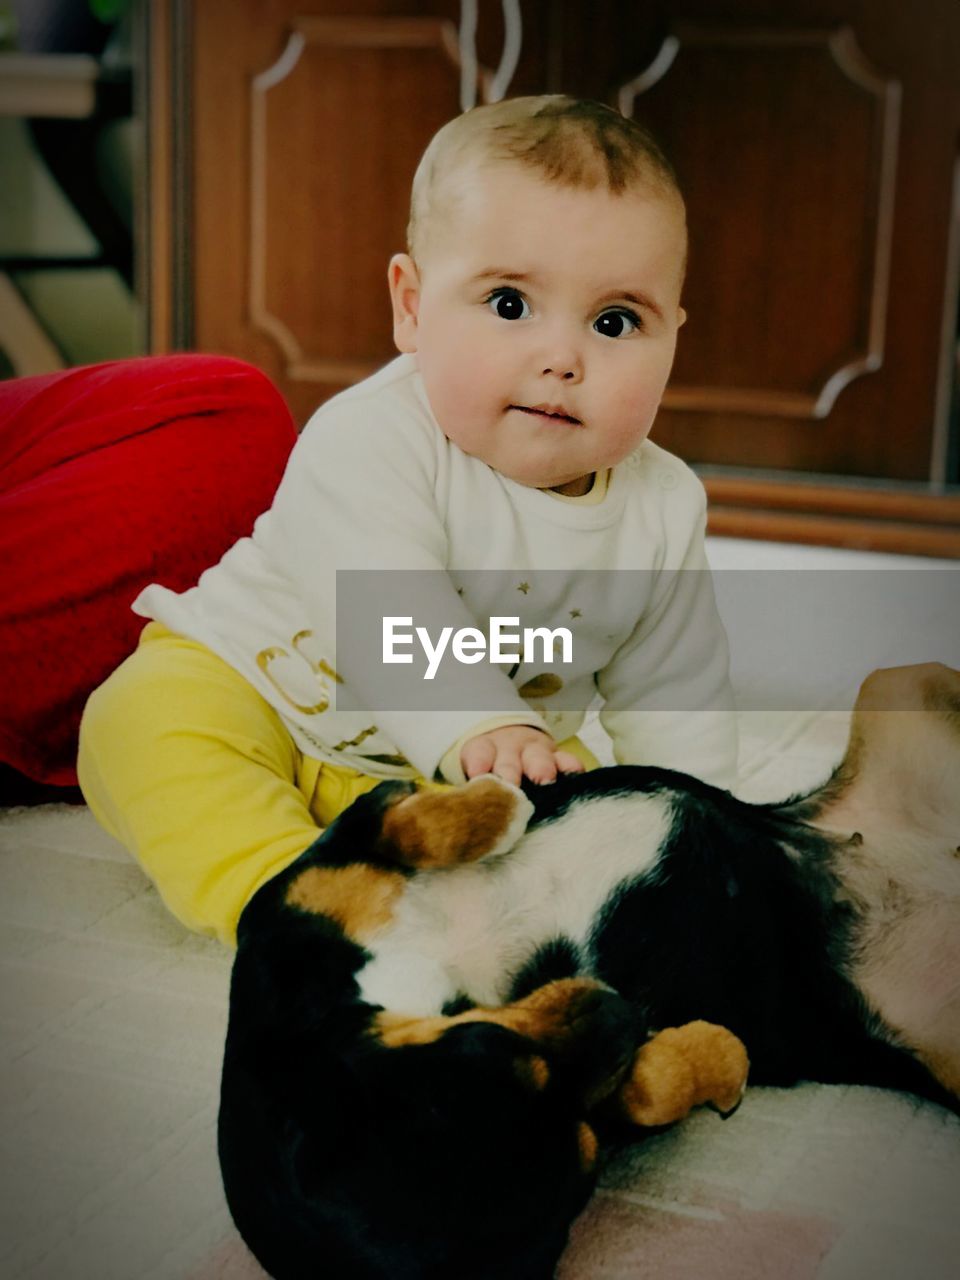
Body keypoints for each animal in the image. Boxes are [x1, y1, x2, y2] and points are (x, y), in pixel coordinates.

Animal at [217, 665, 960, 1274]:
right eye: (585, 1165)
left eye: (484, 1038)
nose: (624, 1008)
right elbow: (653, 1090)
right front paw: (717, 1057)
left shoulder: (306, 882)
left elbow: (410, 822)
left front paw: (506, 792)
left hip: (898, 684)